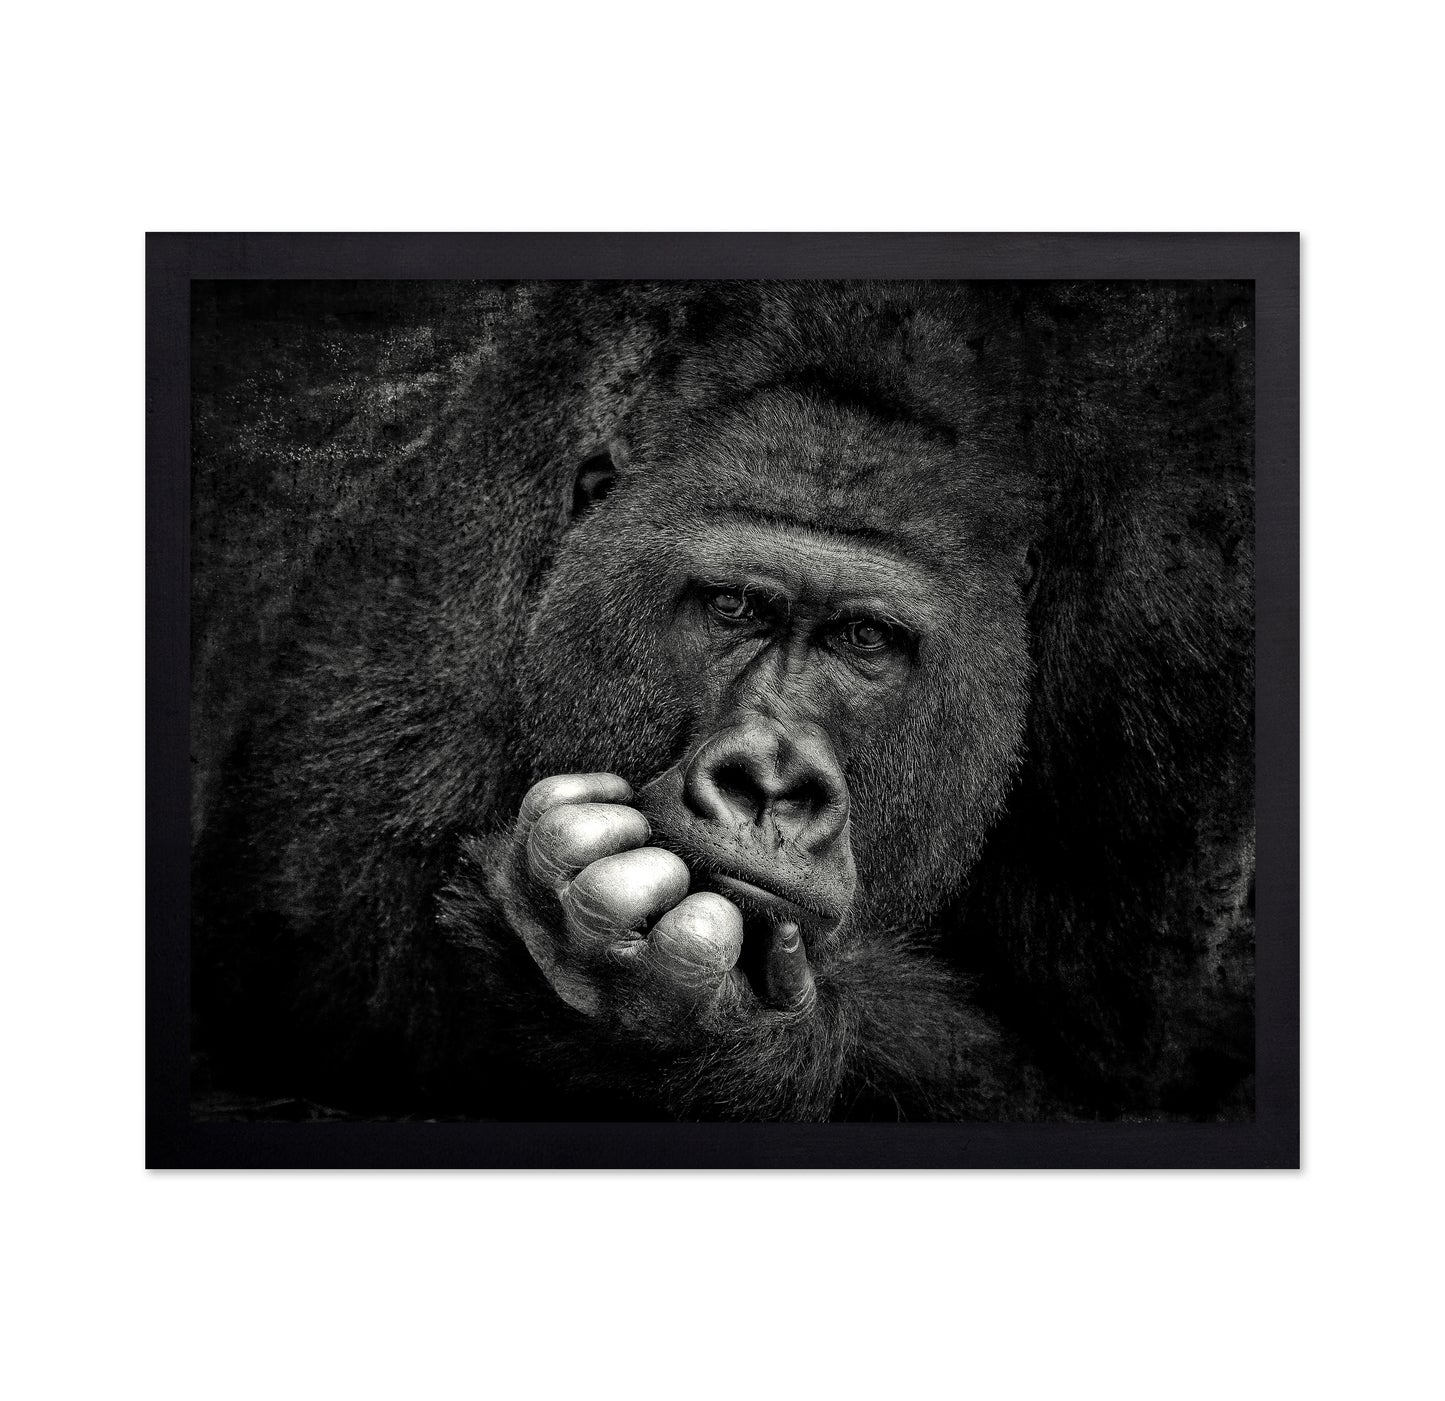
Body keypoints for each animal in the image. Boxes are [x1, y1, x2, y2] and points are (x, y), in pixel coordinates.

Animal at [190, 279, 1254, 1122]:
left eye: (865, 639)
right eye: (733, 605)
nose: (768, 783)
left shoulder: (1173, 608)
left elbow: (1115, 1069)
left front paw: (677, 1025)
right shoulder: (481, 491)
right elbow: (321, 960)